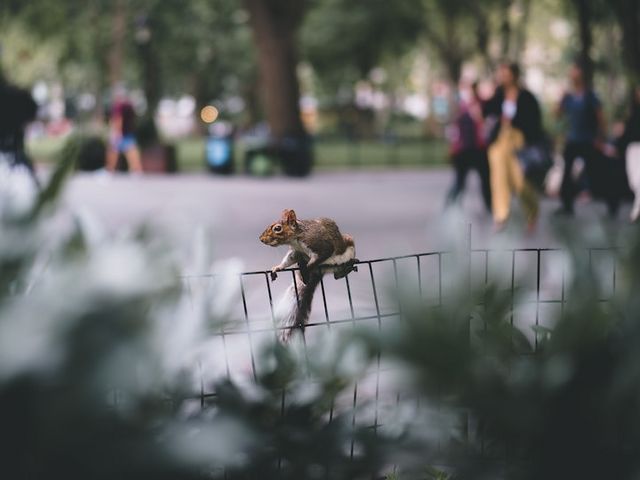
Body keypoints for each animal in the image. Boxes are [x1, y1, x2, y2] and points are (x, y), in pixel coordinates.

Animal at [259, 209, 358, 340]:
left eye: (277, 228)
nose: (261, 239)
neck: (297, 238)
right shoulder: (296, 252)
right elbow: (288, 260)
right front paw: (277, 267)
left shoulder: (320, 245)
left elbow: (322, 255)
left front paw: (307, 268)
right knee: (335, 276)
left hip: (349, 244)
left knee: (337, 274)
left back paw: (349, 265)